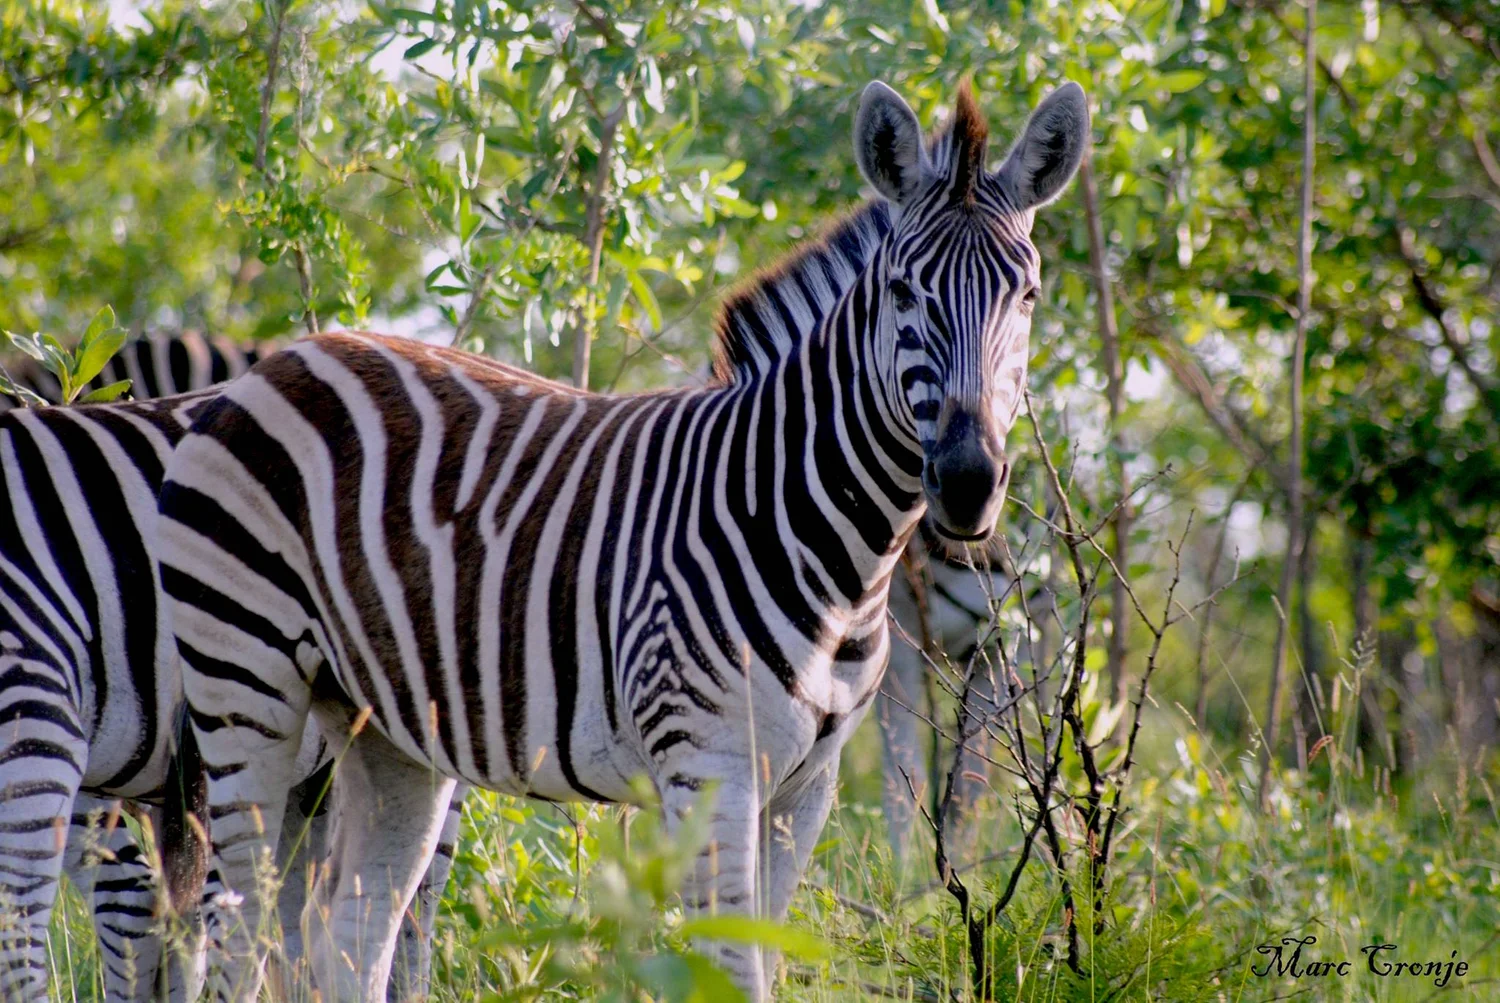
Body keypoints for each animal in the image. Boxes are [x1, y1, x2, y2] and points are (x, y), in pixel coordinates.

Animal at [156, 78, 1088, 1001]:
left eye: (1029, 297)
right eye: (900, 292)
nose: (966, 481)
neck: (828, 547)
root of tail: (280, 362)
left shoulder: (806, 788)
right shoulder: (708, 767)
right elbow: (730, 970)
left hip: (381, 725)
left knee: (350, 932)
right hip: (246, 680)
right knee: (240, 930)